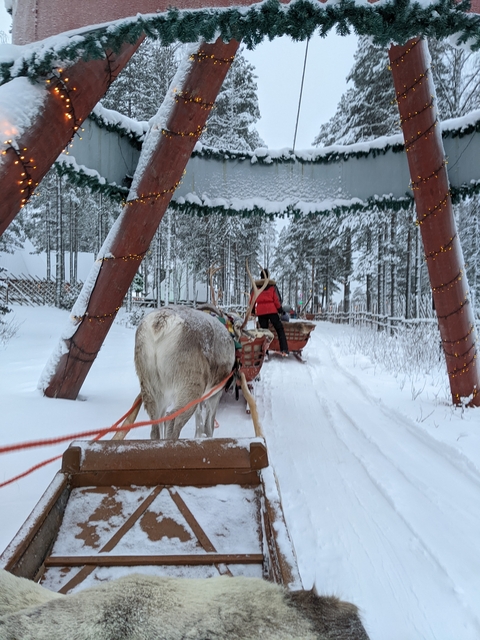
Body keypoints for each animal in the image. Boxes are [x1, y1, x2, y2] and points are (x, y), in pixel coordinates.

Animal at [133, 262, 268, 441]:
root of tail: (160, 324)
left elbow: (199, 421)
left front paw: (197, 437)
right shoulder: (215, 391)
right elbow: (209, 425)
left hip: (150, 385)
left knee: (155, 427)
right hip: (189, 384)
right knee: (172, 421)